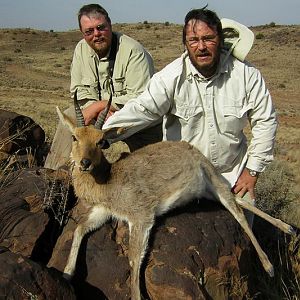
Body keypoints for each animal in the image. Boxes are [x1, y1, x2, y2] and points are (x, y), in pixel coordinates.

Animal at [58, 89, 296, 300]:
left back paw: (270, 266)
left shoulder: (141, 216)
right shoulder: (104, 212)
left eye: (101, 141)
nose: (84, 163)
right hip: (208, 191)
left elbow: (134, 259)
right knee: (238, 199)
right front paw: (67, 274)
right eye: (74, 137)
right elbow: (79, 228)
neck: (108, 180)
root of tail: (190, 148)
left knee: (237, 212)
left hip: (212, 179)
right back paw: (289, 228)